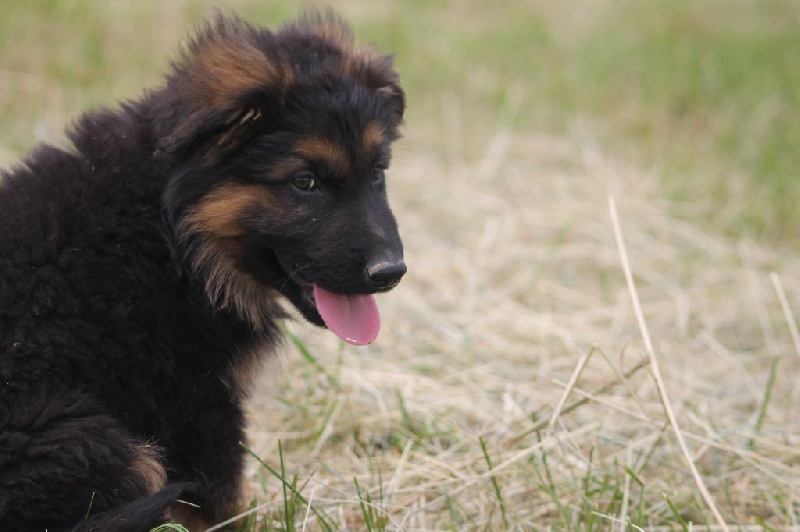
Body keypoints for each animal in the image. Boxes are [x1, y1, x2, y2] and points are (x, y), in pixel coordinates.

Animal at [0, 11, 405, 531]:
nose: (391, 272)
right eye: (304, 183)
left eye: (377, 173)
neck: (170, 232)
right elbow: (221, 495)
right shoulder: (196, 395)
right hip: (87, 438)